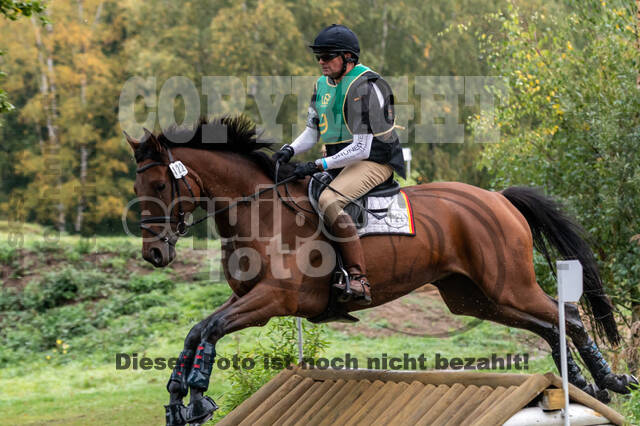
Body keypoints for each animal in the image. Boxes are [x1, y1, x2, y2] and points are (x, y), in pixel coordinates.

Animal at [124, 115, 637, 426]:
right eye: (137, 186)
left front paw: (197, 397)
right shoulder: (246, 295)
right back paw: (584, 385)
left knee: (565, 315)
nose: (154, 254)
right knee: (549, 323)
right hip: (475, 297)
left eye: (159, 185)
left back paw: (607, 382)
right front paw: (177, 398)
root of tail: (497, 197)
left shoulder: (274, 300)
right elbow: (197, 329)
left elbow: (211, 329)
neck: (259, 213)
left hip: (507, 284)